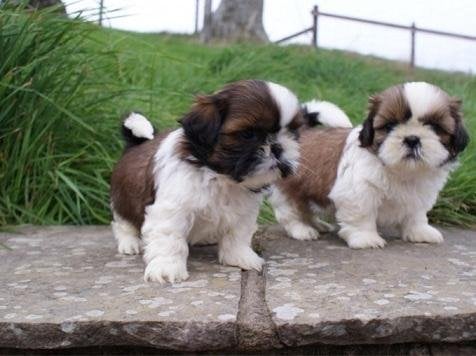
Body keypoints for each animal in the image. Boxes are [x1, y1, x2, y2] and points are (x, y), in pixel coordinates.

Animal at [110, 79, 304, 282]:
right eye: (248, 134)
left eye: (292, 132)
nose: (278, 147)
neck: (219, 176)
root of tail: (135, 145)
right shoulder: (172, 209)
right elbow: (170, 239)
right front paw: (167, 267)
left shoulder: (244, 211)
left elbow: (238, 234)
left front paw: (240, 257)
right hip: (122, 197)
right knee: (122, 222)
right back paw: (130, 242)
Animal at [270, 81, 470, 248]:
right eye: (390, 126)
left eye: (435, 127)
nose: (412, 139)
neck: (401, 171)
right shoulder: (357, 191)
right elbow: (362, 213)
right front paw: (365, 238)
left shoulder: (420, 194)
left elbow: (416, 214)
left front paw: (419, 231)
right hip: (288, 187)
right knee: (289, 211)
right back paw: (302, 229)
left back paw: (318, 224)